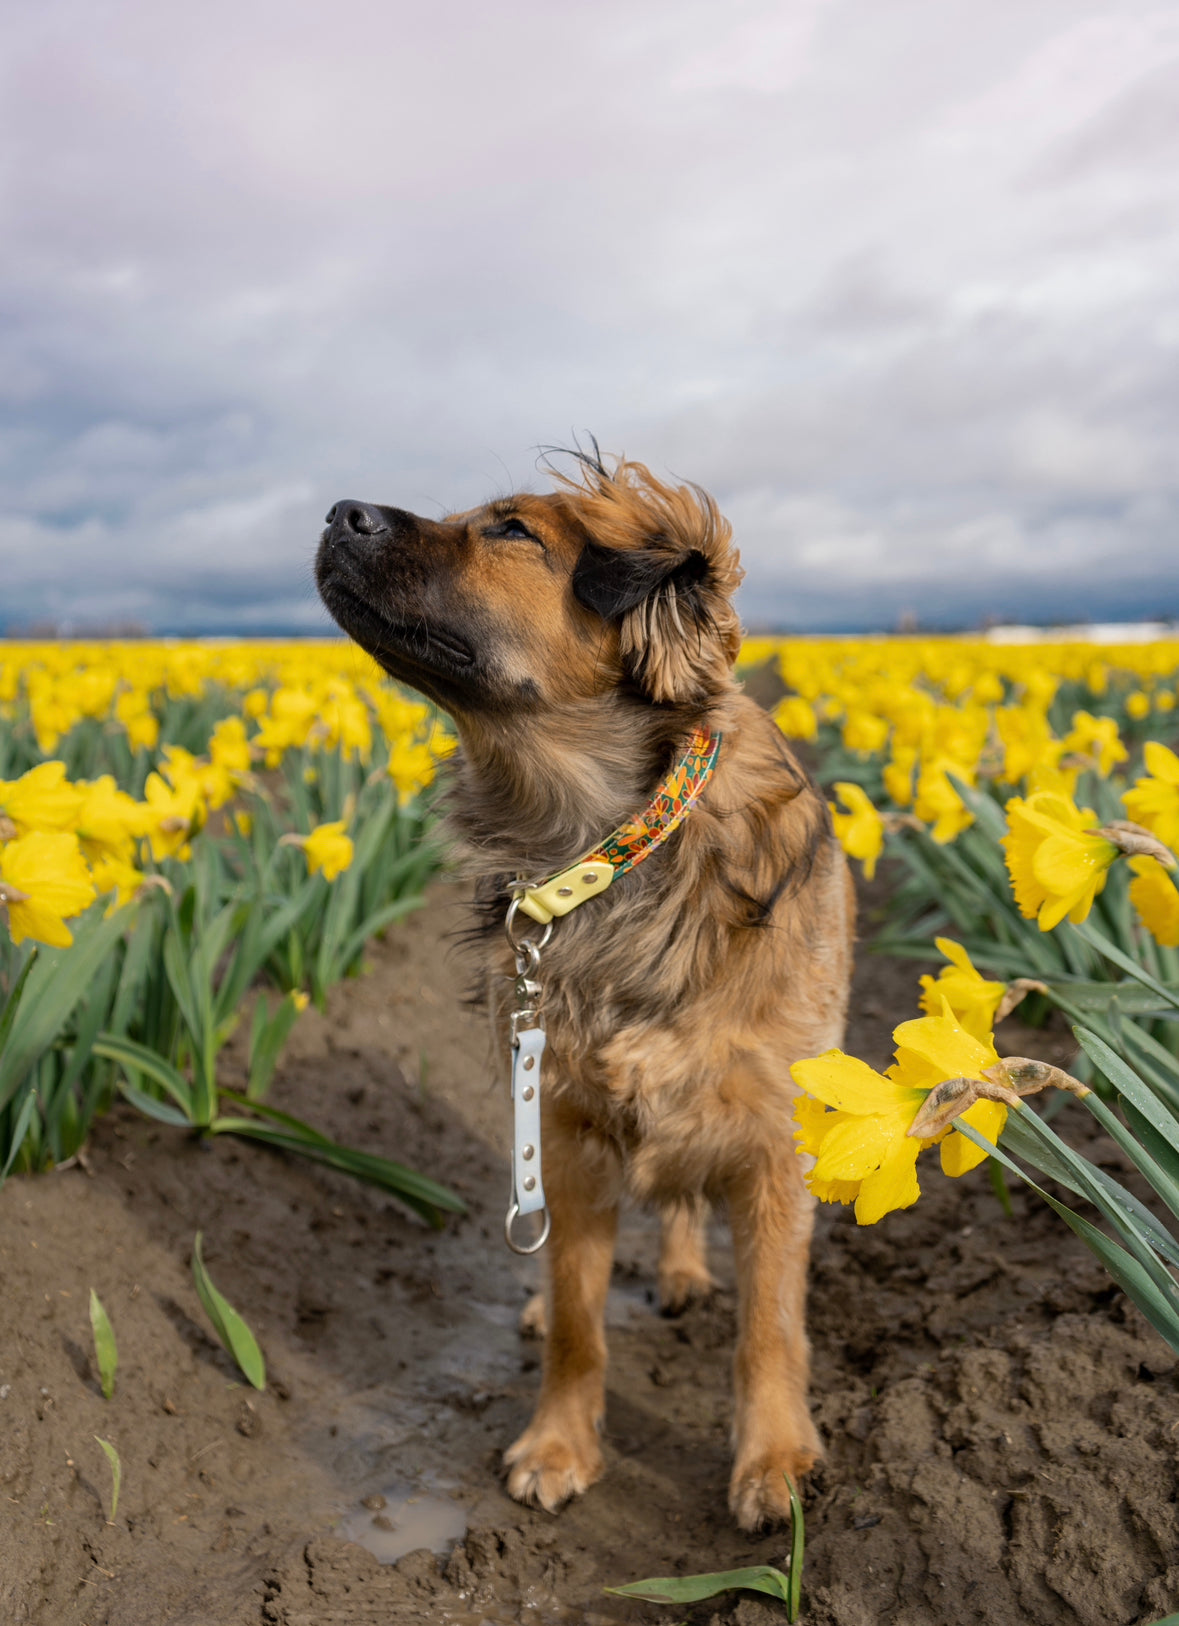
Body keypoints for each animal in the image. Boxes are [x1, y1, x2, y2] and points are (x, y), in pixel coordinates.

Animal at [317, 452, 852, 1528]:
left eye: (512, 530)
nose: (336, 511)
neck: (602, 849)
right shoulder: (561, 1128)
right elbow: (576, 1313)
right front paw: (559, 1444)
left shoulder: (773, 1139)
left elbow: (770, 1326)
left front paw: (775, 1464)